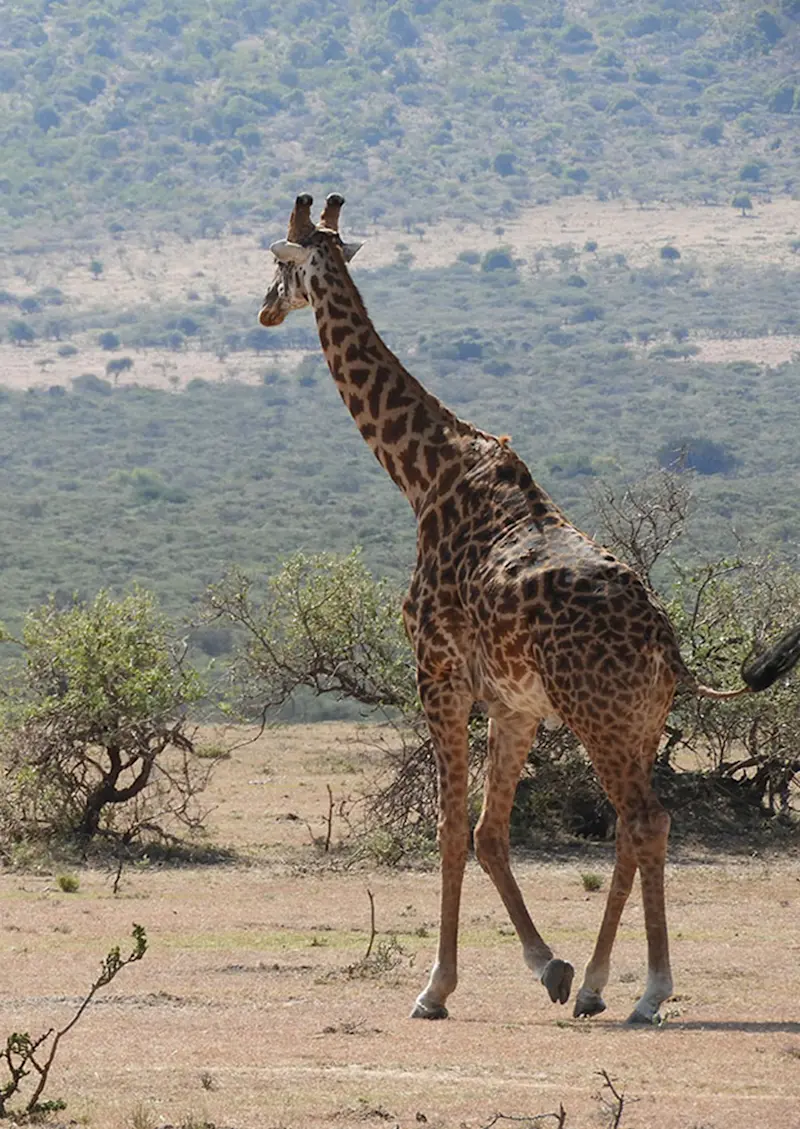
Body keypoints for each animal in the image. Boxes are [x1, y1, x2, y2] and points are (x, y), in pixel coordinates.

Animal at [258, 193, 800, 1023]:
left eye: (277, 264)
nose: (262, 311)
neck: (422, 475)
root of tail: (669, 645)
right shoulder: (515, 703)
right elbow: (490, 832)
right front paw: (552, 967)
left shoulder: (439, 673)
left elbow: (451, 828)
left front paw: (436, 987)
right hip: (637, 722)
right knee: (634, 828)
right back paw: (600, 984)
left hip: (600, 714)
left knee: (644, 820)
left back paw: (650, 990)